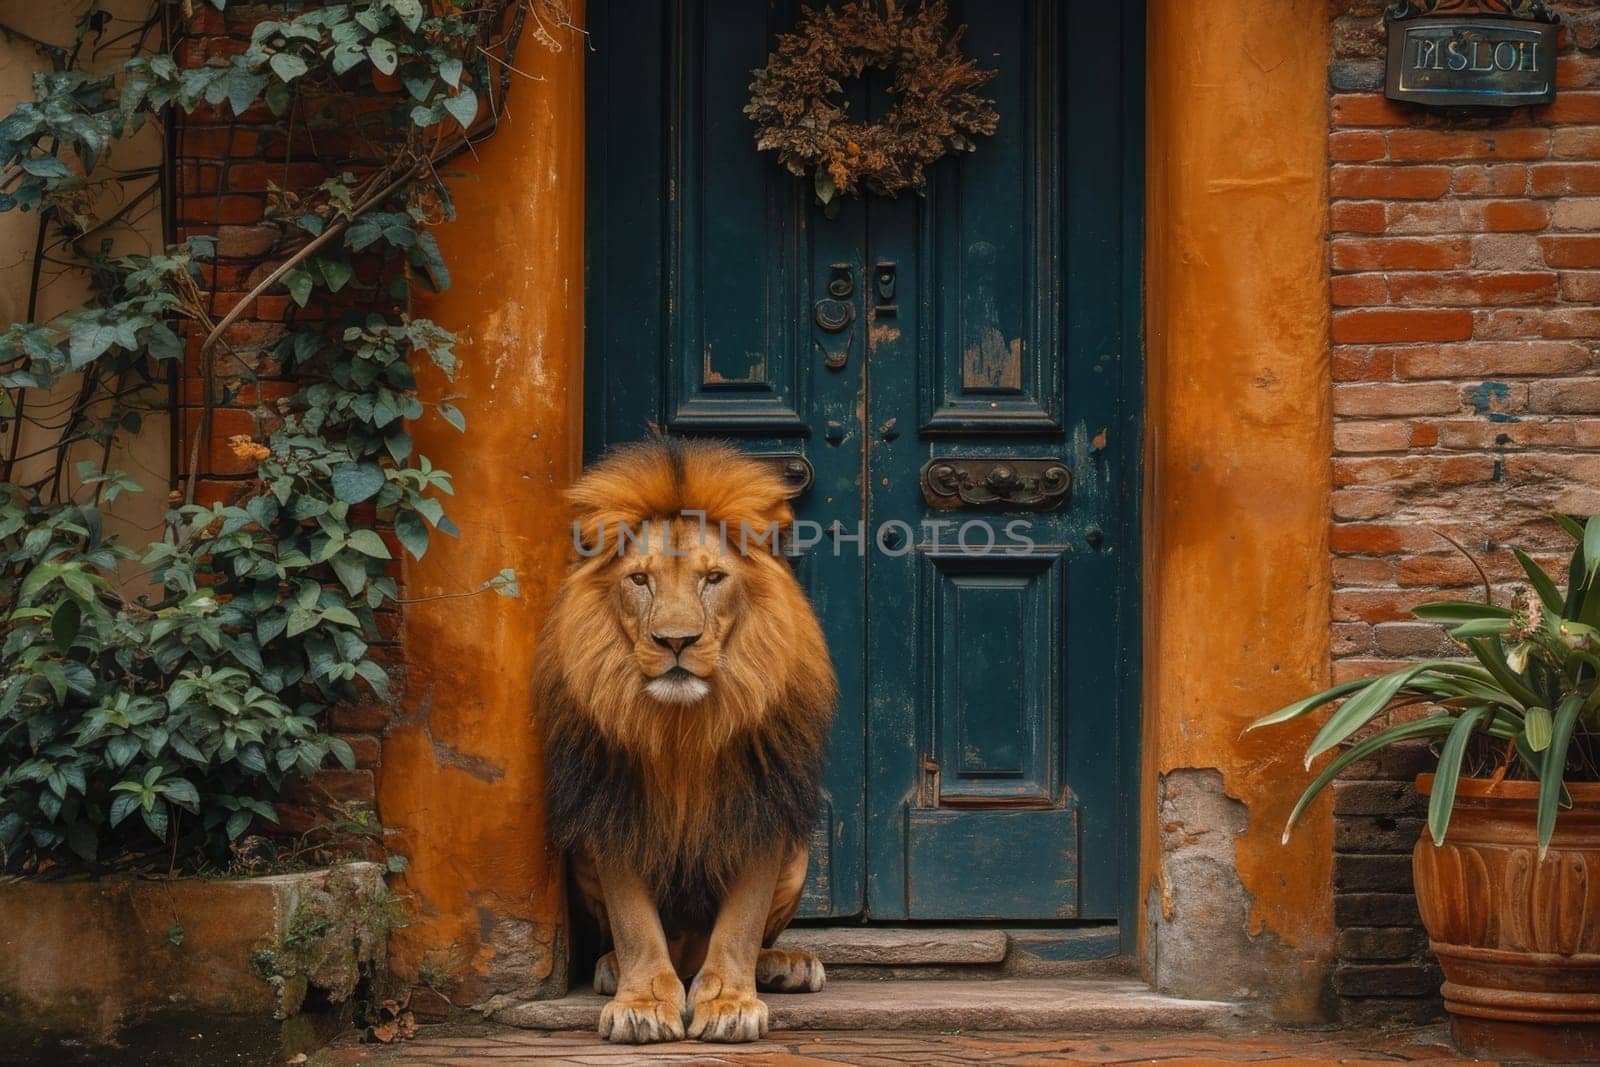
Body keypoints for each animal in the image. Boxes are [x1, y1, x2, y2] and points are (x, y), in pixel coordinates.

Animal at [537, 438, 838, 1049]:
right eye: (640, 581)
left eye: (714, 578)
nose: (675, 641)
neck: (684, 726)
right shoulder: (612, 806)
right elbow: (634, 921)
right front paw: (643, 1004)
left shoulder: (763, 805)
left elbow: (742, 922)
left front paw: (729, 1003)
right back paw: (612, 968)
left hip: (800, 852)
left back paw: (785, 965)